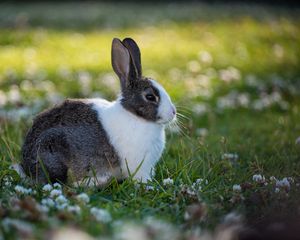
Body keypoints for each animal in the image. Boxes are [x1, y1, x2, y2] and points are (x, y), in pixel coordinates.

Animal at [19, 37, 176, 186]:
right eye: (150, 97)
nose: (173, 112)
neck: (134, 115)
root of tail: (26, 168)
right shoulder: (139, 167)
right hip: (52, 149)